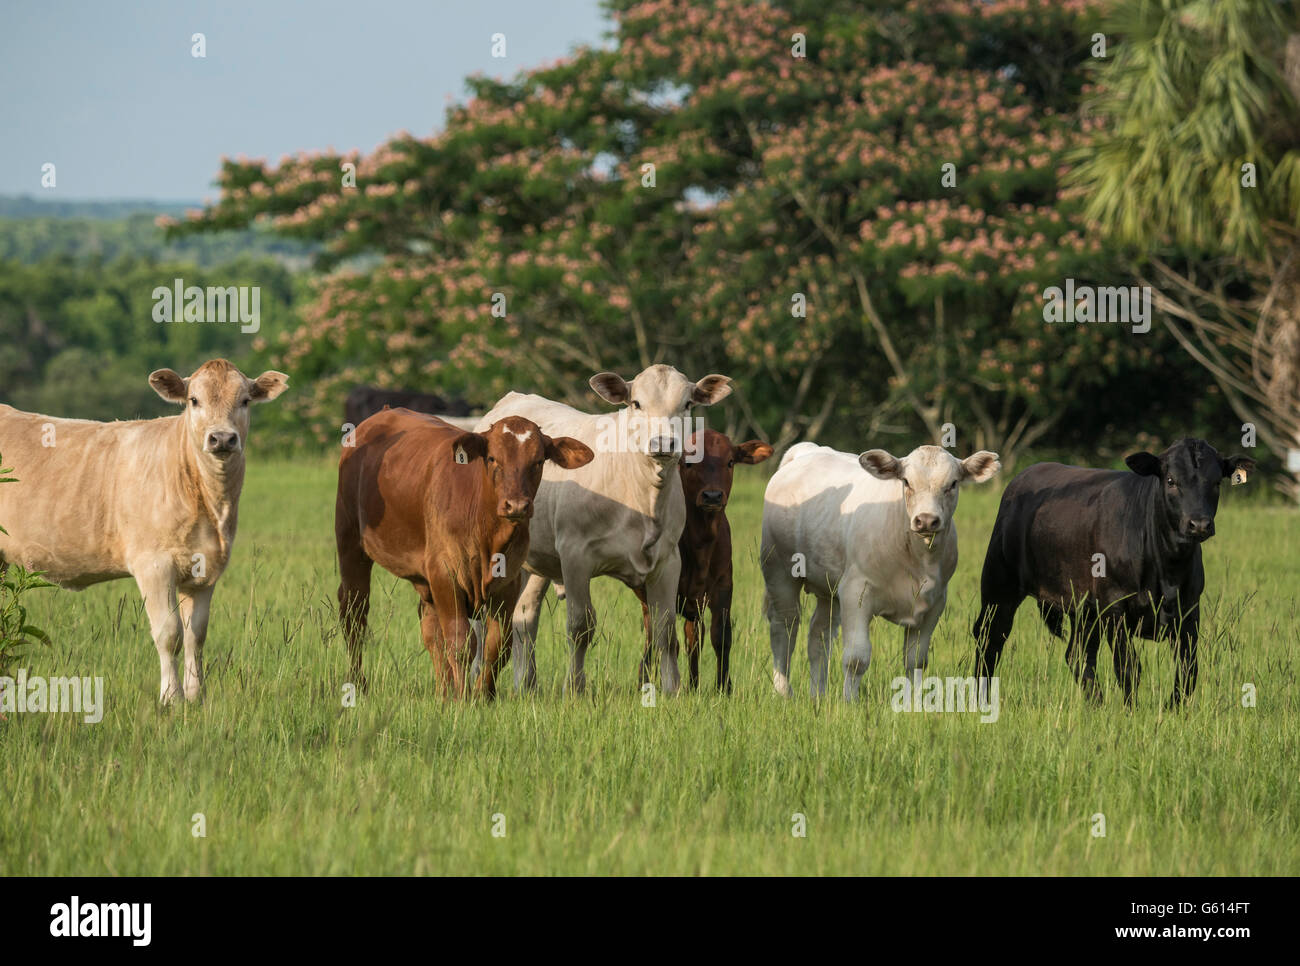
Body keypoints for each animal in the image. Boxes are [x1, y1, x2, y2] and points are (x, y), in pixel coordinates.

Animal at [0, 358, 287, 707]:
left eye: (245, 400)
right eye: (194, 400)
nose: (221, 438)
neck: (211, 502)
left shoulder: (206, 570)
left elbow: (196, 636)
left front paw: (196, 697)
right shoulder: (153, 564)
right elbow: (170, 633)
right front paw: (171, 698)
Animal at [478, 364, 738, 696]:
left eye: (688, 404)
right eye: (636, 403)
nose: (663, 443)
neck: (641, 496)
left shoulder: (668, 561)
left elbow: (665, 630)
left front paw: (674, 690)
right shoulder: (575, 556)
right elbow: (580, 626)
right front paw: (575, 688)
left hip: (536, 561)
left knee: (524, 617)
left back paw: (527, 686)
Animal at [972, 439, 1253, 712]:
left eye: (1216, 482)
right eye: (1171, 480)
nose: (1199, 524)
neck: (1166, 569)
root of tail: (1029, 472)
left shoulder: (1189, 609)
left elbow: (1187, 669)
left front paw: (1174, 711)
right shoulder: (1114, 606)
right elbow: (1128, 666)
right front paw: (1132, 713)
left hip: (1084, 608)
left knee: (1078, 654)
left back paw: (1096, 704)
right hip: (999, 585)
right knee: (989, 638)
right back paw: (981, 700)